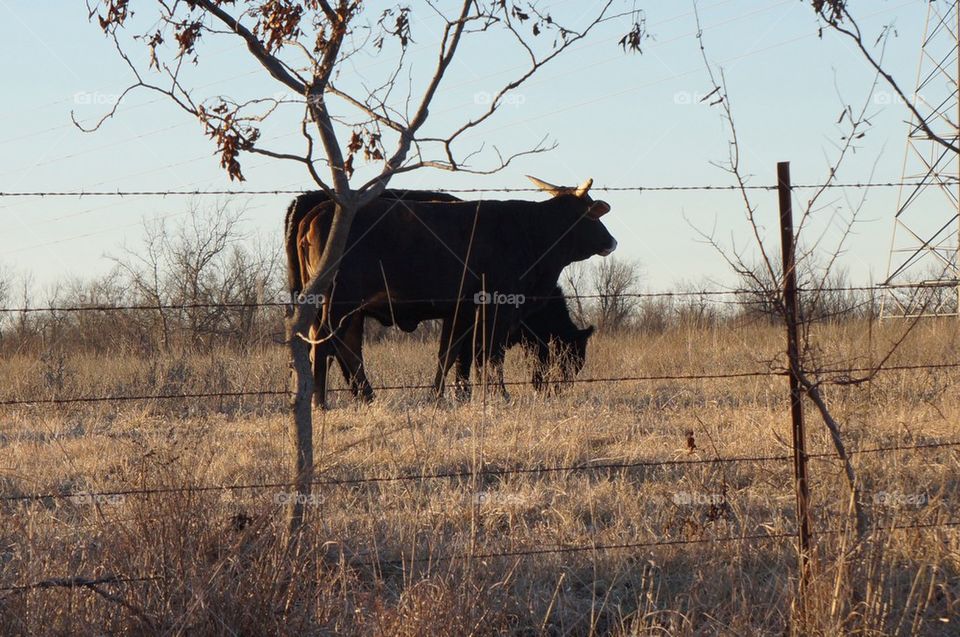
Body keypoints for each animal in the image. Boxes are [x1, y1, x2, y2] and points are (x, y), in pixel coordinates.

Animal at [291, 177, 616, 405]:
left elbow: (454, 354)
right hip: (338, 302)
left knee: (344, 346)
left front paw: (447, 395)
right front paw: (498, 395)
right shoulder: (498, 306)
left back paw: (364, 397)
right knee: (326, 343)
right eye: (591, 213)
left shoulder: (463, 312)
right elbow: (489, 353)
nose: (611, 241)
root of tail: (318, 210)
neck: (531, 230)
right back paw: (320, 401)